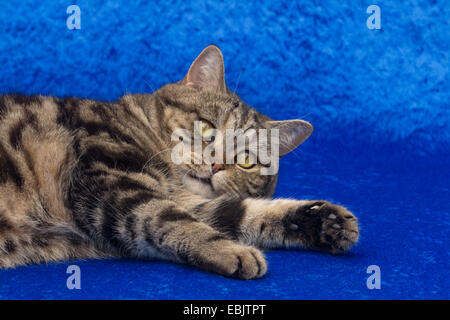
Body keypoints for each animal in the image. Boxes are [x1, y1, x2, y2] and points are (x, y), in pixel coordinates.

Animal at [0, 45, 358, 280]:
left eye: (245, 161)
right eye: (207, 128)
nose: (216, 165)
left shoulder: (192, 202)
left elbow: (244, 214)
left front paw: (323, 221)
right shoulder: (113, 184)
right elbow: (172, 220)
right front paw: (234, 252)